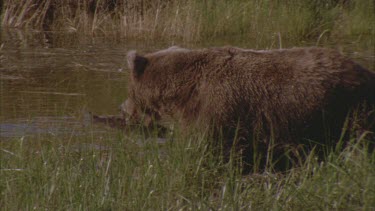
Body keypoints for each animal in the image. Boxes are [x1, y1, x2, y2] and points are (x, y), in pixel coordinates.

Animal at [124, 46, 375, 166]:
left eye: (130, 91)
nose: (123, 108)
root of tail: (365, 71)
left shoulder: (216, 109)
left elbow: (210, 146)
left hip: (351, 108)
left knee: (360, 141)